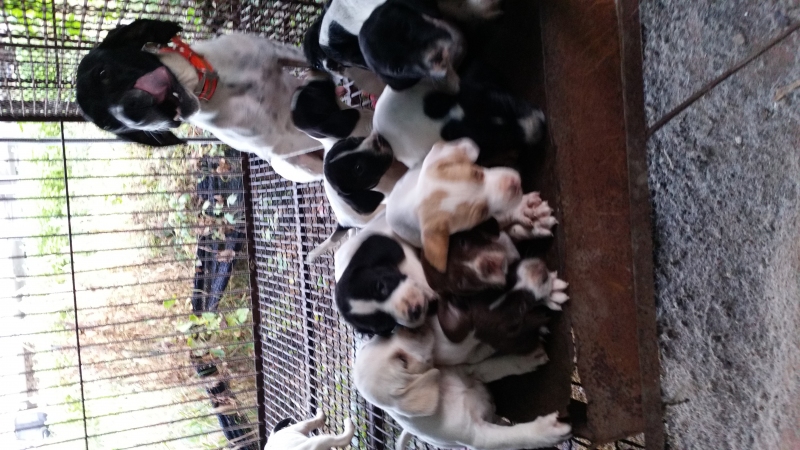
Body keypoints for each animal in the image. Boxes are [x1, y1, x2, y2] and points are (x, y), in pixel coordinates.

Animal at [76, 19, 327, 183]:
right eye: (110, 125)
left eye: (103, 73)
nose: (129, 115)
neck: (213, 86)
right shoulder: (282, 140)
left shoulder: (283, 54)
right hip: (299, 165)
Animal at [353, 323, 572, 449]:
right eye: (402, 361)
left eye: (385, 338)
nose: (406, 327)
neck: (443, 390)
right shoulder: (478, 436)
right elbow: (515, 437)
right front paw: (547, 431)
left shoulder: (471, 372)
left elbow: (494, 366)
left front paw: (525, 360)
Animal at [385, 138, 557, 273]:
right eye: (482, 212)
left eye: (477, 173)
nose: (514, 184)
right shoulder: (488, 219)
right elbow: (504, 215)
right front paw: (523, 209)